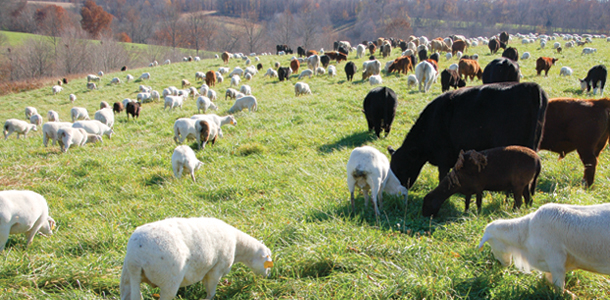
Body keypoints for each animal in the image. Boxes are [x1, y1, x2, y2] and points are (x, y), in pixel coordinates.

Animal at [120, 217, 272, 300]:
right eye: (267, 263)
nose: (267, 276)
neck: (238, 245)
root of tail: (136, 258)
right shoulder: (216, 269)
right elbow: (211, 290)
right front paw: (208, 298)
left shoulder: (207, 269)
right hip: (168, 280)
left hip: (127, 277)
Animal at [478, 203, 610, 294]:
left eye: (491, 244)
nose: (501, 264)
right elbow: (548, 279)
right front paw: (570, 294)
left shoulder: (555, 261)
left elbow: (558, 288)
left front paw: (565, 295)